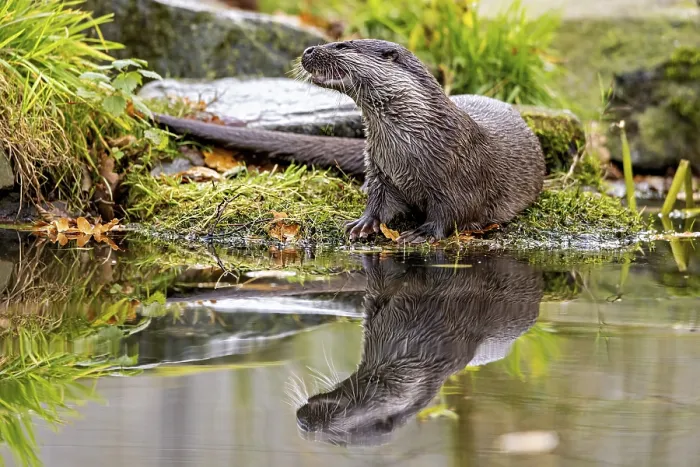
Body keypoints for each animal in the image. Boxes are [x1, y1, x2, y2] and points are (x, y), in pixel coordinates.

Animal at [155, 39, 545, 244]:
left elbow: (454, 211)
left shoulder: (462, 174)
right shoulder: (380, 170)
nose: (308, 49)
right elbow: (378, 200)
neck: (412, 146)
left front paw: (422, 234)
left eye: (342, 45)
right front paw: (364, 223)